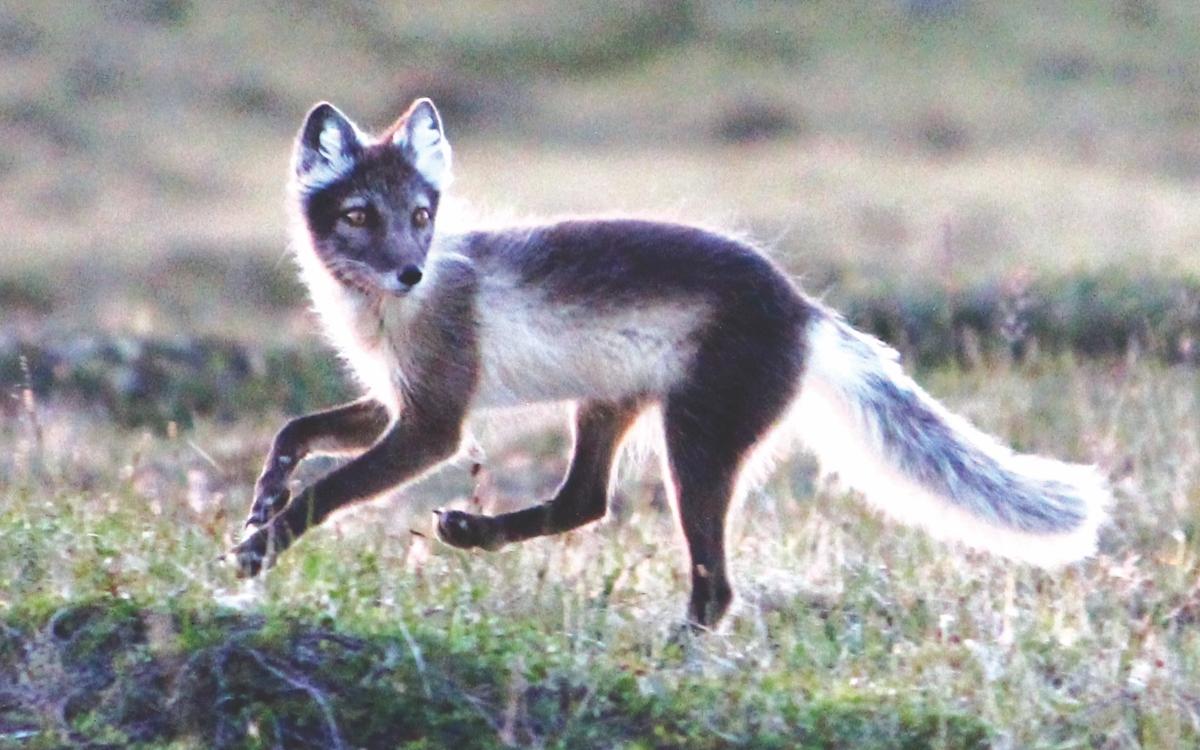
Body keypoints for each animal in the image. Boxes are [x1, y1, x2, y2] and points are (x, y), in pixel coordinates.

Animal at [230, 97, 1111, 629]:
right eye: (358, 216)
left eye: (419, 215)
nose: (411, 271)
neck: (386, 318)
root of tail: (806, 308)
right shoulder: (396, 403)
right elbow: (295, 431)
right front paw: (263, 497)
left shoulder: (437, 424)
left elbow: (331, 491)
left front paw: (261, 547)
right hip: (610, 406)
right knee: (584, 502)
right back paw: (477, 533)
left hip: (697, 445)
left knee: (713, 583)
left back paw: (675, 641)